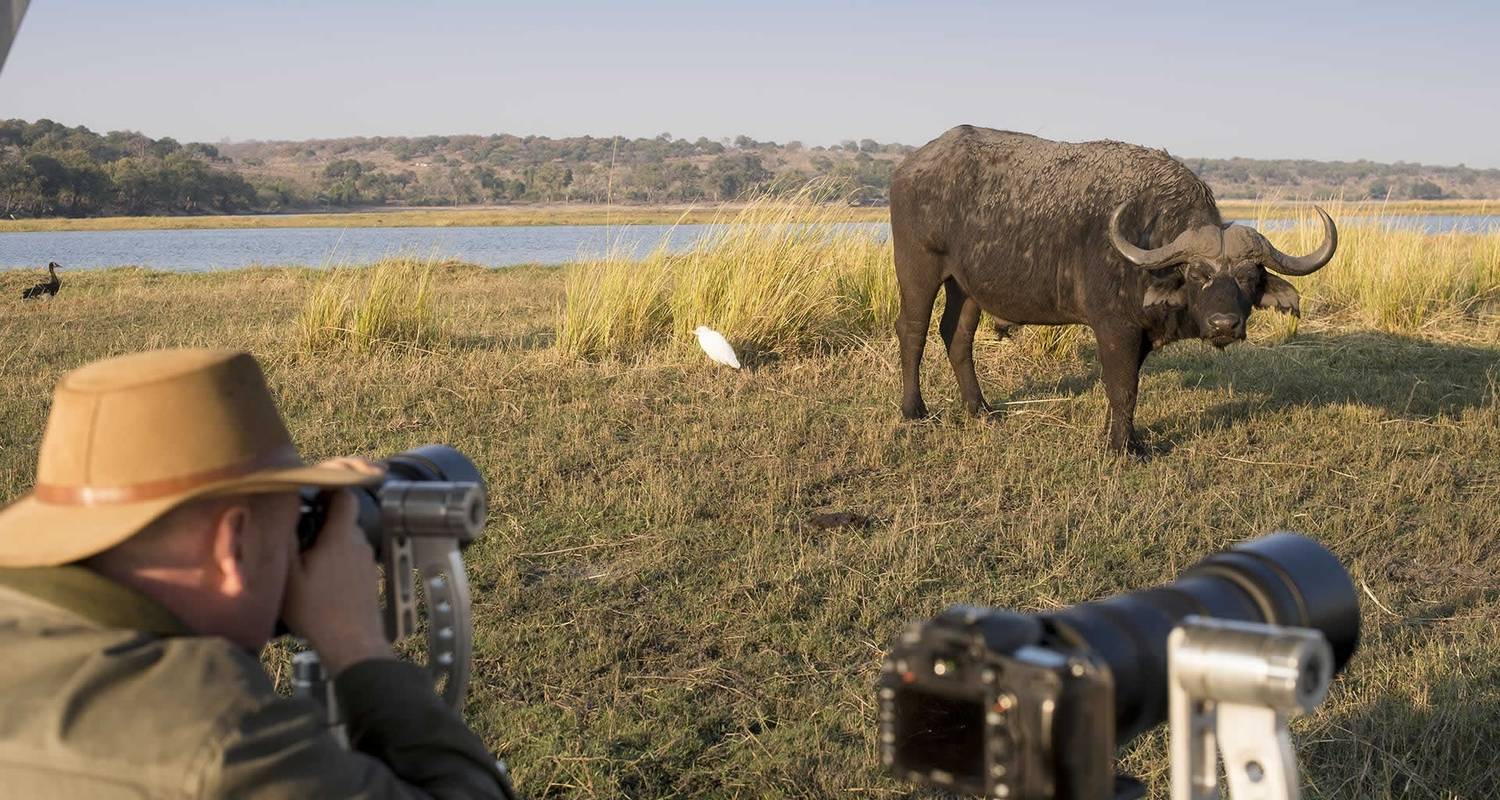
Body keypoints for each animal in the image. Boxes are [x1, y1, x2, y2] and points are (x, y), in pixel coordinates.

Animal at [888, 124, 1338, 453]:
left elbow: (1125, 387)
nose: (1224, 325)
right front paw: (1125, 448)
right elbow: (1123, 388)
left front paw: (1117, 435)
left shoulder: (1138, 335)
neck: (1148, 238)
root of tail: (909, 166)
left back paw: (979, 409)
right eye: (1197, 274)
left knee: (957, 336)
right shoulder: (1114, 327)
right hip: (918, 269)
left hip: (967, 287)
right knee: (912, 331)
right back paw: (914, 410)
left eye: (1248, 276)